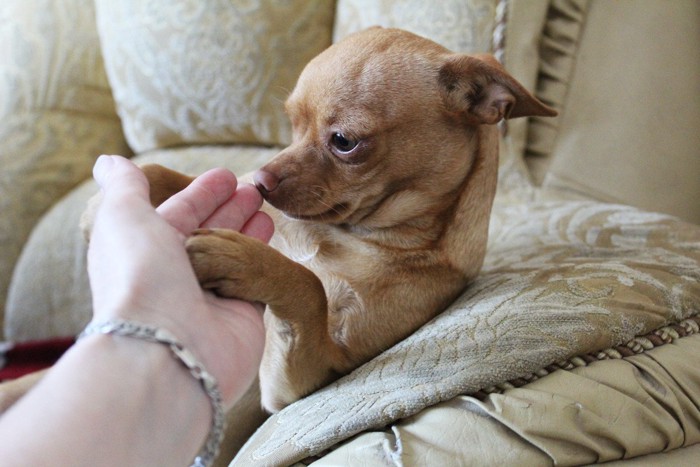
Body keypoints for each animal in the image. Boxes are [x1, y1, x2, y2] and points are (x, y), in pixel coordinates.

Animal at [1, 27, 556, 424]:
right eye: (291, 126)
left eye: (344, 142)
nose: (264, 181)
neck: (345, 237)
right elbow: (178, 175)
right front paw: (104, 204)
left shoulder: (304, 379)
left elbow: (306, 283)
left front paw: (239, 259)